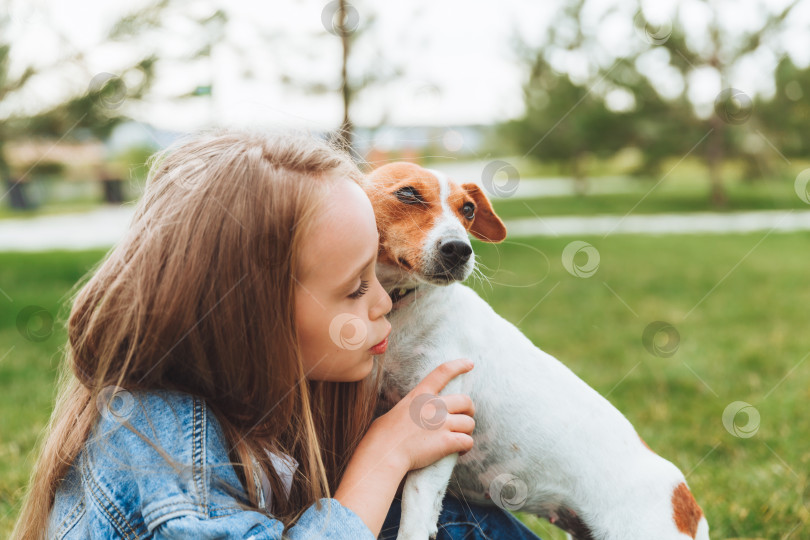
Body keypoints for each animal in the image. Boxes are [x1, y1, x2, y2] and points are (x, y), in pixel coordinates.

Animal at [360, 162, 708, 540]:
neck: (399, 307)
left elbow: (415, 515)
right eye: (408, 193)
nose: (459, 249)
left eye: (468, 209)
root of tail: (689, 506)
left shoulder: (437, 426)